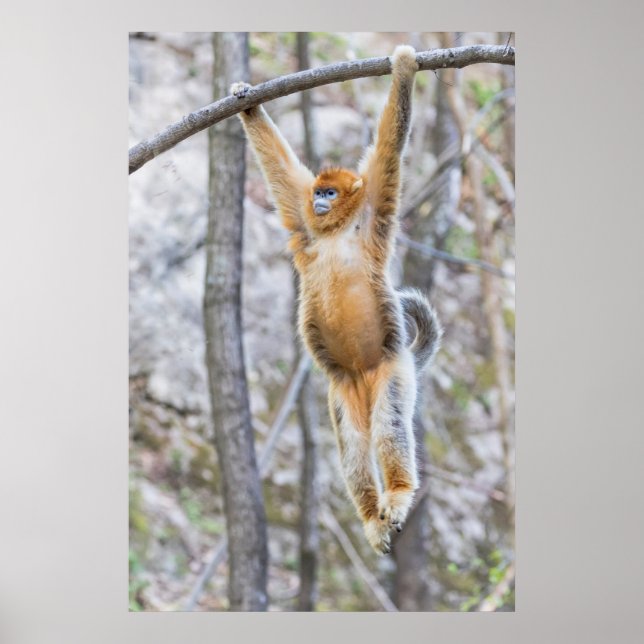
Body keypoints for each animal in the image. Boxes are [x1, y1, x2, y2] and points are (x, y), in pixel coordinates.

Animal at [231, 45, 442, 554]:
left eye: (331, 190)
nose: (321, 201)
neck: (335, 229)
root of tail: (364, 374)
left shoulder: (377, 203)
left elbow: (390, 145)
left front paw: (404, 68)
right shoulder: (304, 222)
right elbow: (281, 172)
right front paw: (247, 102)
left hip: (393, 370)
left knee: (389, 425)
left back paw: (398, 494)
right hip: (342, 389)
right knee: (353, 446)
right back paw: (371, 517)